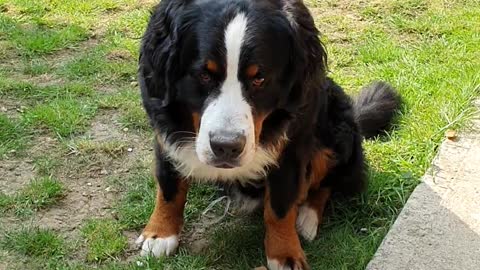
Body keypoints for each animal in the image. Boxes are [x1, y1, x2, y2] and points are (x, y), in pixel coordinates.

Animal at [136, 0, 402, 268]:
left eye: (259, 78)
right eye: (203, 75)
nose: (226, 146)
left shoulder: (291, 147)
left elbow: (280, 207)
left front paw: (285, 254)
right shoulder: (164, 131)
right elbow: (169, 188)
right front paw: (160, 234)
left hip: (335, 129)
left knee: (328, 181)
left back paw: (307, 217)